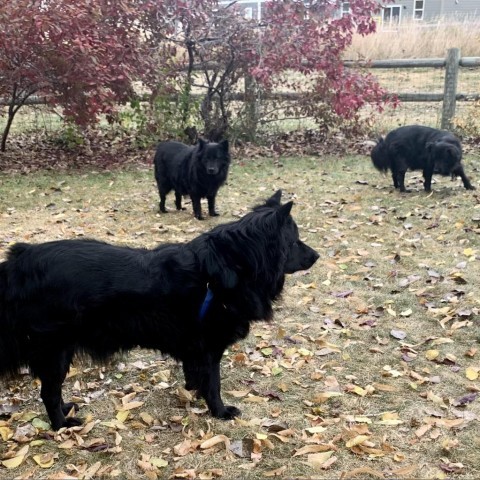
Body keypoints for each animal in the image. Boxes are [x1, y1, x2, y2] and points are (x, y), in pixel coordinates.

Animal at [0, 191, 318, 432]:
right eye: (294, 241)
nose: (317, 255)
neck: (232, 265)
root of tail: (19, 262)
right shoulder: (209, 348)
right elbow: (213, 384)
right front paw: (219, 411)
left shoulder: (194, 349)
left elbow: (196, 377)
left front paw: (193, 395)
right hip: (56, 350)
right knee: (48, 392)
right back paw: (61, 425)